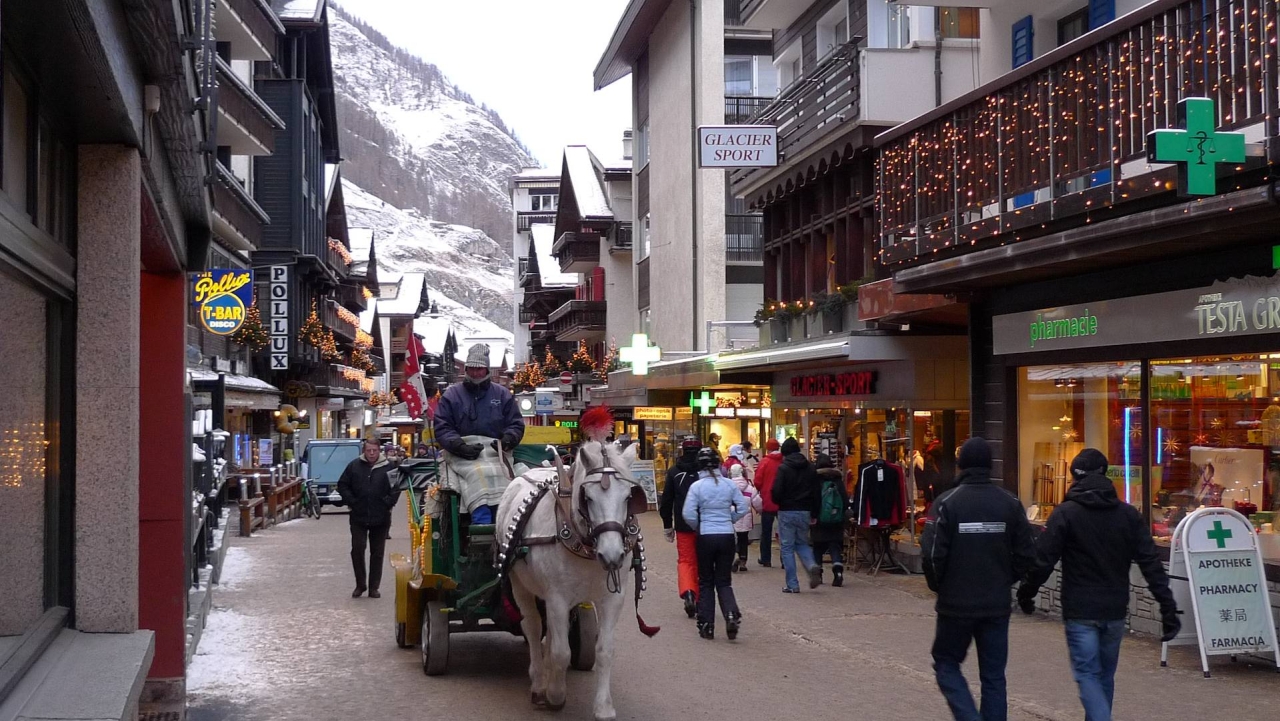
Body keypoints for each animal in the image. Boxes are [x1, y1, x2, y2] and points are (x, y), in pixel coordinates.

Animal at [494, 437, 655, 717]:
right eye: (587, 498)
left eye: (628, 497)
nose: (612, 555)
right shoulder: (557, 598)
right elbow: (561, 652)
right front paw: (555, 695)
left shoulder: (612, 599)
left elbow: (604, 650)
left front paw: (604, 707)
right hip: (519, 584)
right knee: (533, 627)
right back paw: (540, 683)